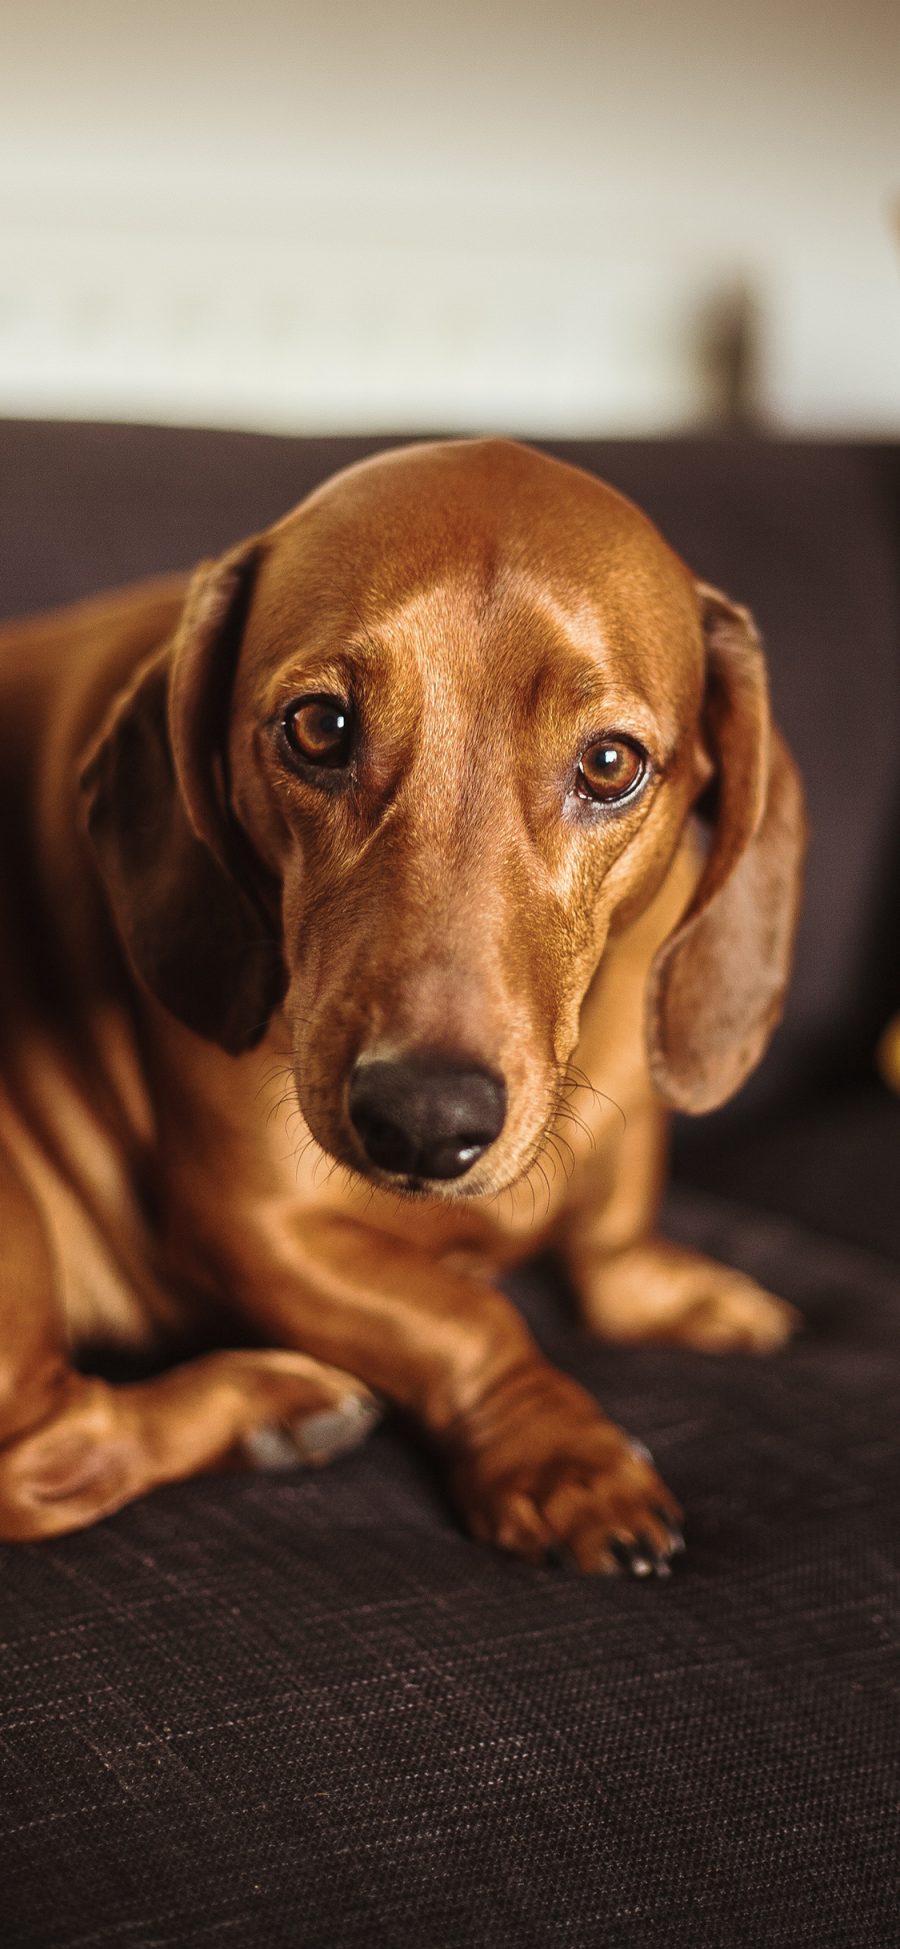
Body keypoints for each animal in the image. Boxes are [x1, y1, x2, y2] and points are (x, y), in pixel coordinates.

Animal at [0, 438, 806, 1566]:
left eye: (610, 762)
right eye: (318, 725)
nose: (423, 1123)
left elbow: (611, 1226)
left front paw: (670, 1287)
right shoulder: (255, 1227)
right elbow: (466, 1321)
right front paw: (564, 1455)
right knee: (46, 1455)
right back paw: (266, 1404)